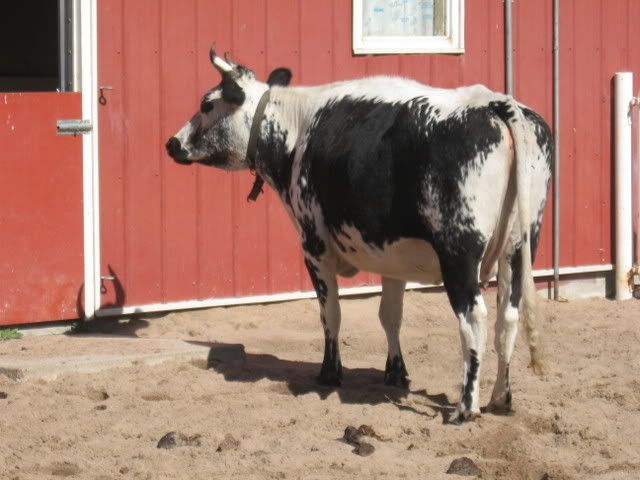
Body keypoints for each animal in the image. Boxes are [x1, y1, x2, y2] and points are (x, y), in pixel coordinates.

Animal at [166, 46, 552, 424]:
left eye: (207, 104)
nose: (172, 143)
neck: (296, 127)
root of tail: (492, 102)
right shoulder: (393, 255)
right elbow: (390, 315)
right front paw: (395, 373)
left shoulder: (314, 244)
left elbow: (331, 313)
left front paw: (329, 372)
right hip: (518, 247)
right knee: (508, 319)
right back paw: (501, 398)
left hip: (459, 252)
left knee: (475, 319)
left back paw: (465, 407)